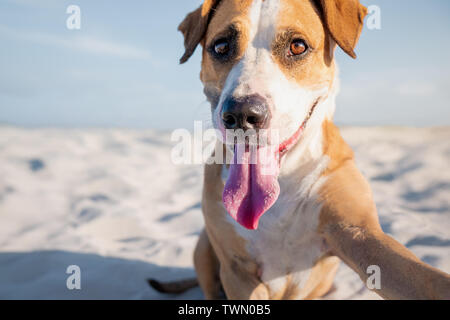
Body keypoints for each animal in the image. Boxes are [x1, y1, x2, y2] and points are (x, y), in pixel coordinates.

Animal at [150, 0, 450, 300]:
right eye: (221, 46)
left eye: (297, 46)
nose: (242, 114)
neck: (283, 177)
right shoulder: (238, 271)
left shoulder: (360, 235)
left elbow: (423, 278)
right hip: (203, 247)